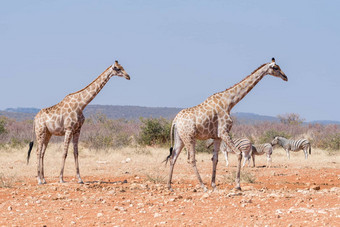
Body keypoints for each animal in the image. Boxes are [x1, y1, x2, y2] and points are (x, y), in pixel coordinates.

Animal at [165, 57, 286, 191]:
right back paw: (203, 186)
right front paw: (238, 185)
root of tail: (175, 121)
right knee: (191, 159)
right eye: (275, 67)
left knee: (173, 157)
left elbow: (215, 159)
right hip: (189, 137)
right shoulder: (224, 132)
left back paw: (169, 186)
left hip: (180, 138)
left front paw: (214, 185)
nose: (285, 77)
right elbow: (238, 154)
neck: (229, 102)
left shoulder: (217, 137)